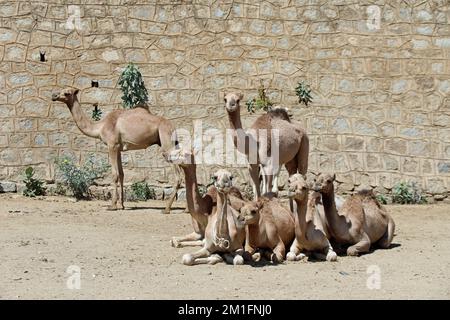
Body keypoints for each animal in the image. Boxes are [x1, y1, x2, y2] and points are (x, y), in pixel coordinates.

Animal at [51, 87, 179, 212]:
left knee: (178, 175)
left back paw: (167, 208)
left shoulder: (111, 145)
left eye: (67, 93)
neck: (100, 127)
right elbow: (121, 174)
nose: (54, 95)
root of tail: (173, 127)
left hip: (166, 143)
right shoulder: (118, 148)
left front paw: (112, 205)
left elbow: (114, 174)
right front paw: (121, 205)